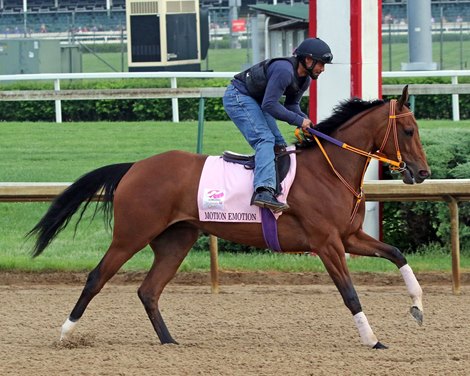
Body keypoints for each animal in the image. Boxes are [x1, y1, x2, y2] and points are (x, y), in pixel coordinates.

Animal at [28, 86, 430, 350]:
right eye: (409, 130)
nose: (422, 172)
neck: (330, 171)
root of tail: (135, 167)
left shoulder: (348, 237)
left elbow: (397, 254)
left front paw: (417, 307)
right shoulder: (326, 243)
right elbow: (349, 293)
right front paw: (373, 339)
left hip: (176, 240)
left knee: (149, 290)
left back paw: (169, 341)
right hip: (131, 234)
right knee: (97, 277)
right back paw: (65, 334)